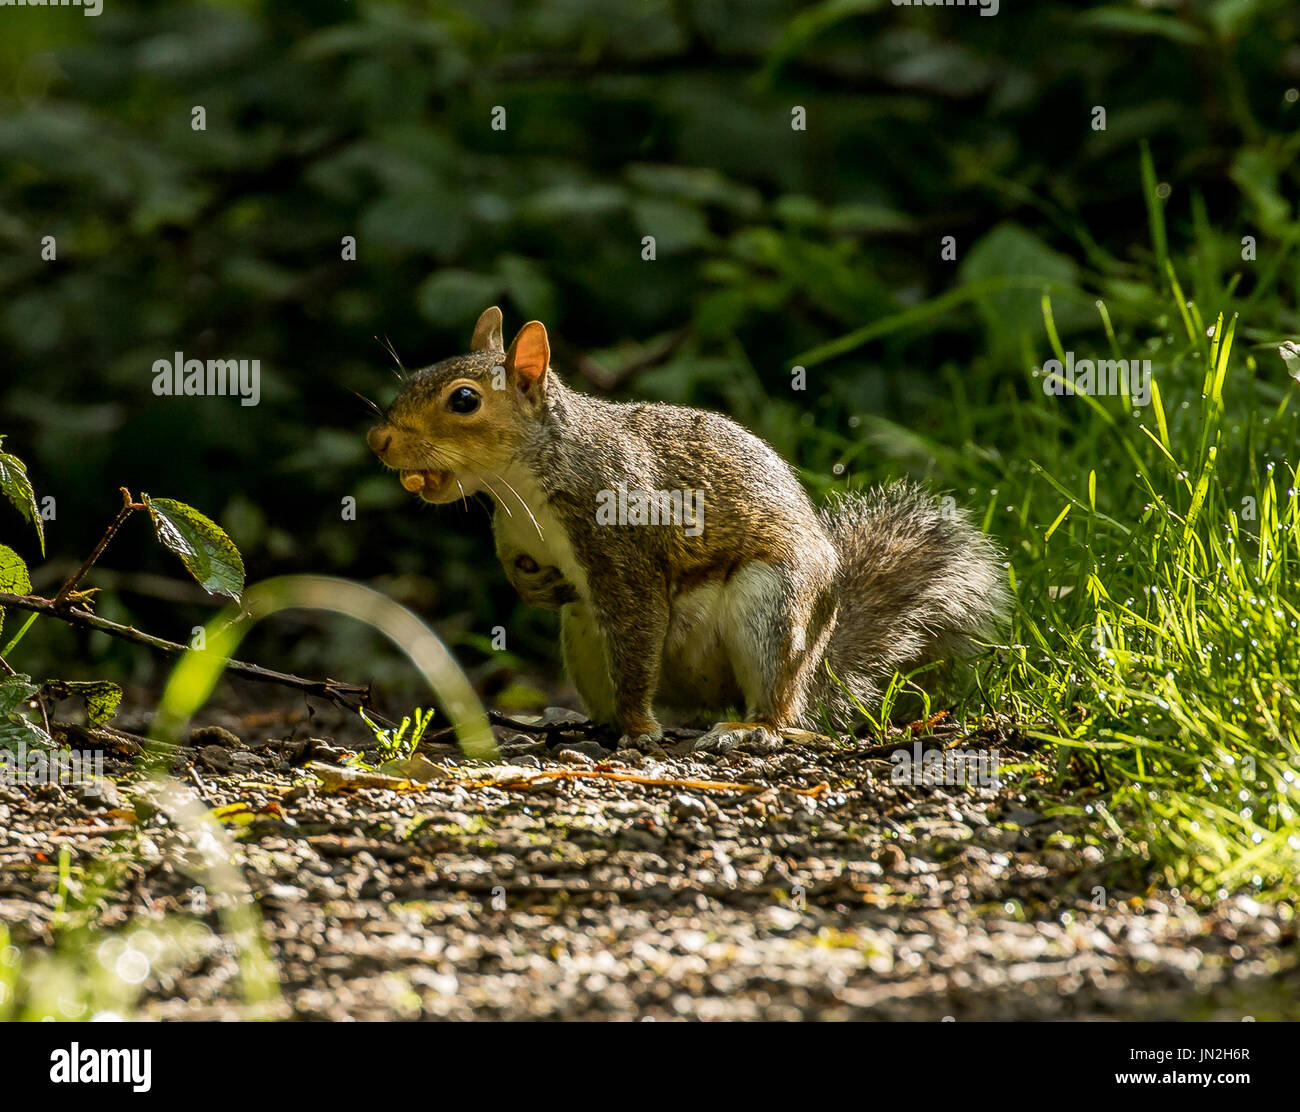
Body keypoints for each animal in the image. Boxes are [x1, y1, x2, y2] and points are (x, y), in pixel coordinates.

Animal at [367, 307, 1009, 751]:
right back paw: (586, 723)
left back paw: (744, 727)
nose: (379, 441)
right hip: (583, 630)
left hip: (771, 606)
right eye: (417, 374)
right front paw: (532, 585)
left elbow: (639, 626)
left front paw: (638, 727)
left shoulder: (622, 543)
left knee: (775, 706)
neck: (519, 487)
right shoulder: (515, 532)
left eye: (464, 400)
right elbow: (519, 566)